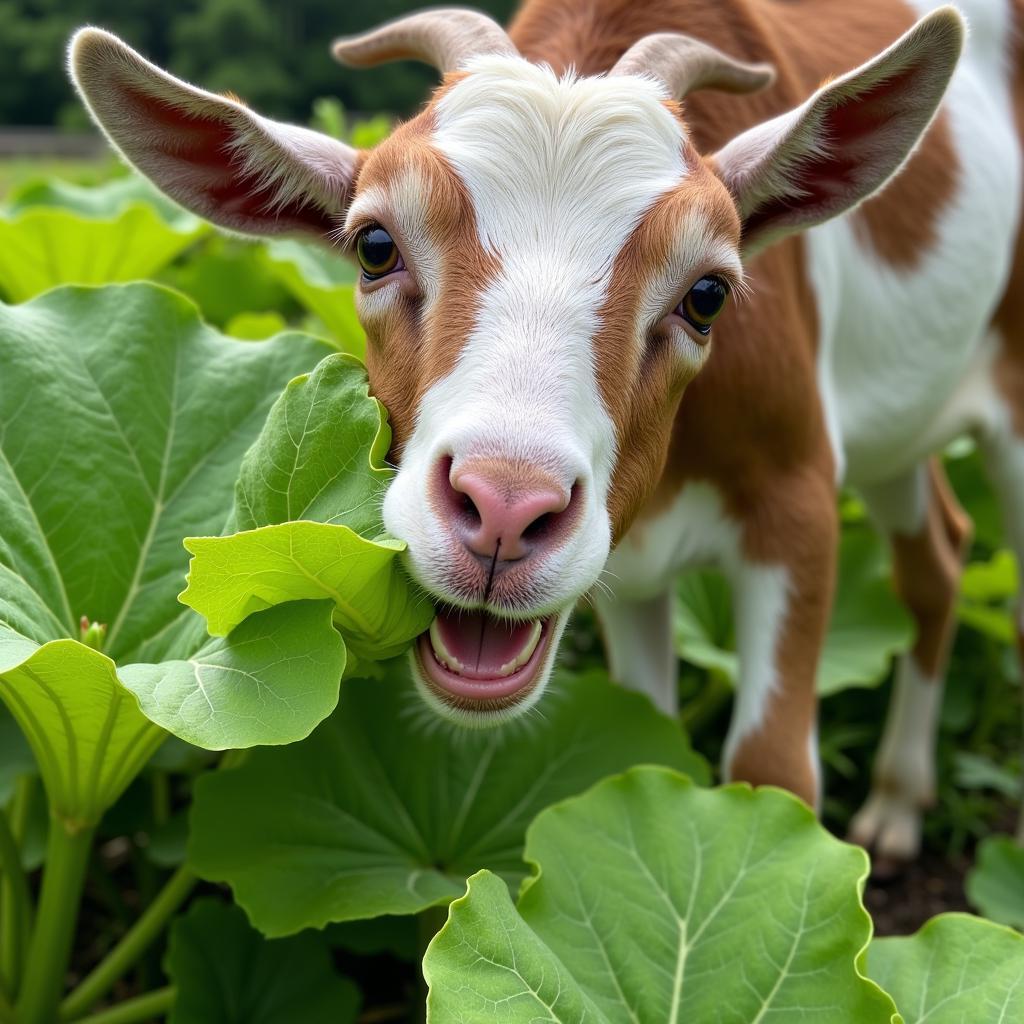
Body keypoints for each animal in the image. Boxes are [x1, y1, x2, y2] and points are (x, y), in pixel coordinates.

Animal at [70, 0, 1024, 864]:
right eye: (374, 247)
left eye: (708, 293)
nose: (503, 509)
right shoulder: (628, 567)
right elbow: (649, 741)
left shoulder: (797, 500)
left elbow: (772, 773)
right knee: (938, 557)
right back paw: (898, 804)